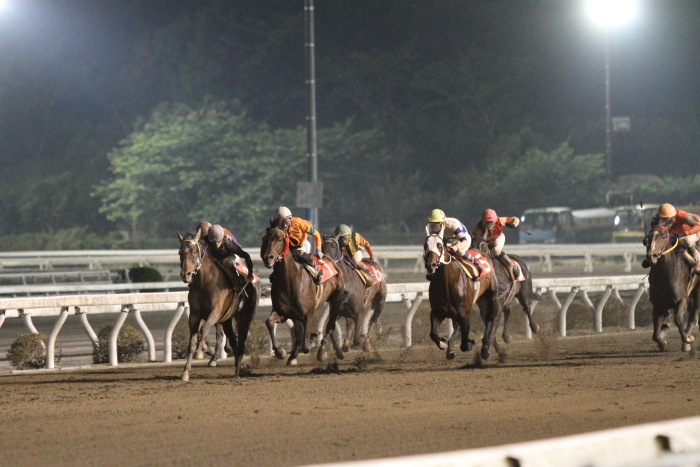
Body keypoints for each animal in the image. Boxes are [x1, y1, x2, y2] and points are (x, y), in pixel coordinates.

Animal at [176, 230, 262, 380]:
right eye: (180, 252)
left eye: (194, 251)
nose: (186, 274)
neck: (204, 283)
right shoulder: (194, 314)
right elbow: (192, 342)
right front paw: (186, 372)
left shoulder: (215, 312)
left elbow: (204, 329)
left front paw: (201, 351)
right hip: (227, 320)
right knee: (234, 342)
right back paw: (239, 367)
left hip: (245, 317)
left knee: (241, 343)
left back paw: (238, 371)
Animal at [260, 227, 348, 366]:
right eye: (265, 238)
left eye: (280, 239)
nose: (268, 257)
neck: (290, 281)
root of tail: (328, 258)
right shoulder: (283, 312)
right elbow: (269, 322)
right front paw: (280, 352)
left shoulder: (308, 314)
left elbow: (306, 345)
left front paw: (312, 341)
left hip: (336, 300)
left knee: (330, 326)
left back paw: (322, 351)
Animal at [422, 234, 504, 362]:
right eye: (425, 245)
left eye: (439, 246)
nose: (431, 265)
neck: (447, 282)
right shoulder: (437, 312)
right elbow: (433, 334)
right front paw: (443, 342)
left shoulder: (464, 314)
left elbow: (464, 343)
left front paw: (470, 343)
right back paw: (450, 349)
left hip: (491, 296)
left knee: (491, 317)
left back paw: (485, 349)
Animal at [644, 224, 696, 352]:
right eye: (648, 237)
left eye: (663, 237)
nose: (651, 256)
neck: (665, 275)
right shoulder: (657, 304)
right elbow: (655, 332)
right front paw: (662, 342)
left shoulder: (682, 299)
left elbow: (678, 319)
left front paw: (687, 339)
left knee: (693, 316)